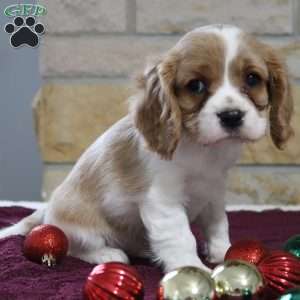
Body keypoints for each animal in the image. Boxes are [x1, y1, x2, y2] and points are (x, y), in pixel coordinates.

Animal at [0, 24, 292, 274]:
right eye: (196, 85)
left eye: (252, 79)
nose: (231, 116)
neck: (203, 149)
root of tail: (48, 209)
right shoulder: (163, 200)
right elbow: (181, 236)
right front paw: (191, 268)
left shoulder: (214, 192)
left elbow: (218, 225)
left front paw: (223, 253)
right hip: (77, 226)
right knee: (74, 245)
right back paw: (108, 254)